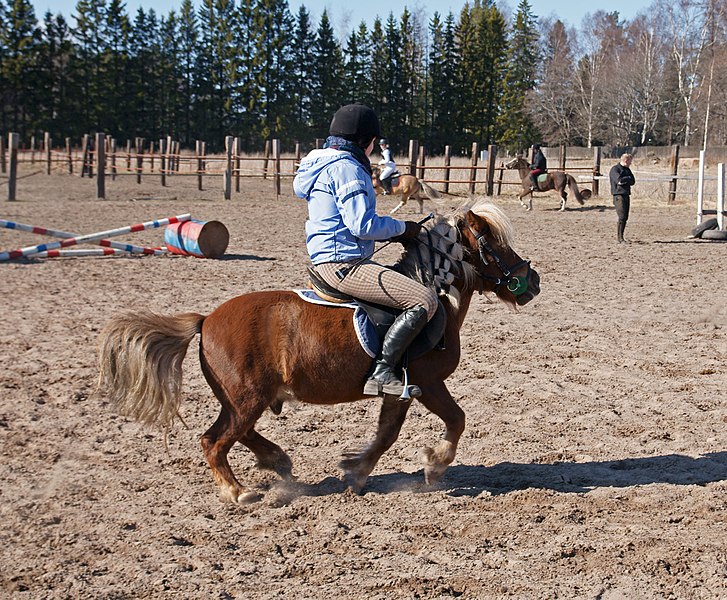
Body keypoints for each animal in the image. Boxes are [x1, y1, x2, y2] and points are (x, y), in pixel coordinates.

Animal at [96, 199, 540, 504]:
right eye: (493, 242)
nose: (531, 281)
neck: (433, 292)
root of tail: (207, 319)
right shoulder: (427, 383)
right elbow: (454, 420)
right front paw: (435, 465)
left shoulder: (401, 389)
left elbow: (387, 433)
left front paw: (357, 472)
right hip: (246, 398)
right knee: (215, 442)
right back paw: (238, 490)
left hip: (242, 399)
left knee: (234, 434)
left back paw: (277, 461)